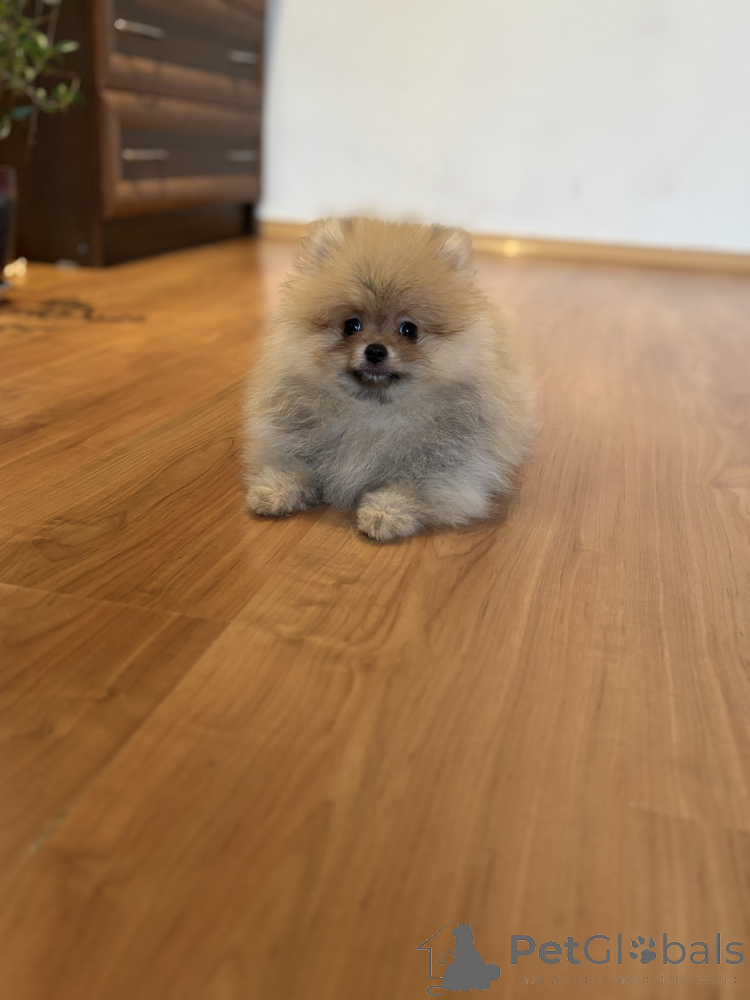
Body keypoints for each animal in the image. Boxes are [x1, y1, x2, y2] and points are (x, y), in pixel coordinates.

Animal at [243, 218, 530, 541]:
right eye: (351, 325)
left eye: (409, 330)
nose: (375, 350)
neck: (373, 410)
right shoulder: (294, 437)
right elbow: (294, 463)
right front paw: (276, 489)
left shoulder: (450, 463)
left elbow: (412, 485)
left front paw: (386, 510)